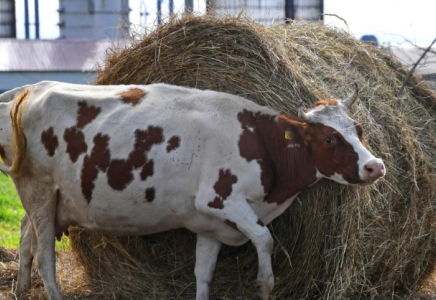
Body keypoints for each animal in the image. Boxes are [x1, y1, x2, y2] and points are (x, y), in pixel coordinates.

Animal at [0, 81, 386, 300]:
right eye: (329, 139)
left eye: (358, 129)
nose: (376, 166)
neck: (261, 144)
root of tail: (27, 91)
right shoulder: (221, 200)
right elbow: (265, 239)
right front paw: (264, 285)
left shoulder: (210, 225)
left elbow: (203, 275)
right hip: (38, 189)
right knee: (46, 255)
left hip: (48, 200)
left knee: (27, 236)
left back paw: (21, 289)